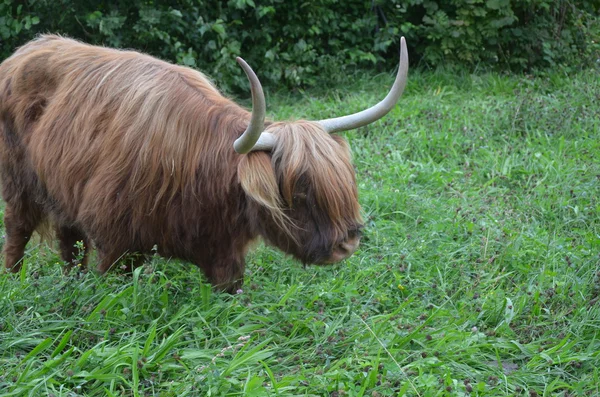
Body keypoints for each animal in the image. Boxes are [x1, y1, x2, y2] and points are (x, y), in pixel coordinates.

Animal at [0, 34, 408, 290]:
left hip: (61, 187)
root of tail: (23, 52)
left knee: (68, 242)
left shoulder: (224, 251)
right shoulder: (115, 241)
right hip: (19, 184)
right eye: (300, 191)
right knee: (18, 232)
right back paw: (15, 284)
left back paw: (73, 284)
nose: (347, 245)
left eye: (343, 182)